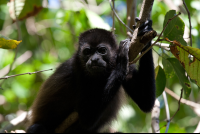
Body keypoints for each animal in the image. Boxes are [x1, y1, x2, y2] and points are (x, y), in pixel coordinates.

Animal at [27, 20, 155, 133]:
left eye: (102, 50)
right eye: (87, 52)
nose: (94, 59)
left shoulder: (130, 62)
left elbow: (146, 102)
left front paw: (146, 31)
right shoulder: (78, 68)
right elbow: (86, 118)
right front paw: (122, 59)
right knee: (37, 129)